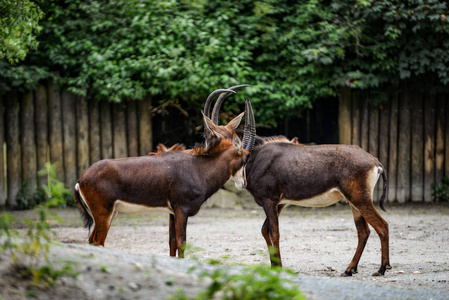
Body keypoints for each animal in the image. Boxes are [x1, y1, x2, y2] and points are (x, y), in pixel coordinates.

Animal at [73, 89, 256, 258]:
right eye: (246, 157)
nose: (244, 183)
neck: (199, 167)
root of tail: (81, 179)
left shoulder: (173, 212)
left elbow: (172, 242)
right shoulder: (182, 210)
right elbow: (182, 242)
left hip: (111, 213)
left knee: (92, 241)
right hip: (103, 214)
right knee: (98, 241)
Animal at [206, 86, 388, 276]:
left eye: (212, 136)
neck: (254, 156)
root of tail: (374, 161)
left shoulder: (270, 202)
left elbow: (274, 233)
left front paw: (279, 267)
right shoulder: (278, 203)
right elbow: (265, 230)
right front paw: (274, 265)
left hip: (360, 199)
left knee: (382, 227)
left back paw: (382, 268)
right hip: (353, 202)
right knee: (364, 231)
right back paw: (350, 269)